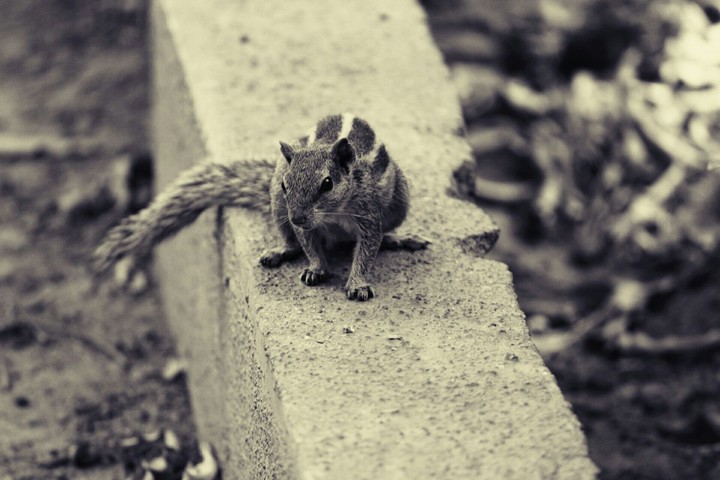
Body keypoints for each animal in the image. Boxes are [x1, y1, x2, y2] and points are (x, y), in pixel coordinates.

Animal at [95, 113, 429, 301]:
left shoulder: (368, 214)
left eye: (327, 183)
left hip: (399, 201)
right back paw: (281, 251)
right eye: (285, 184)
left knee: (385, 233)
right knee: (291, 240)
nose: (298, 216)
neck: (332, 215)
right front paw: (316, 268)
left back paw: (398, 239)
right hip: (277, 210)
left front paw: (357, 283)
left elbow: (367, 249)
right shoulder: (296, 218)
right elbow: (309, 245)